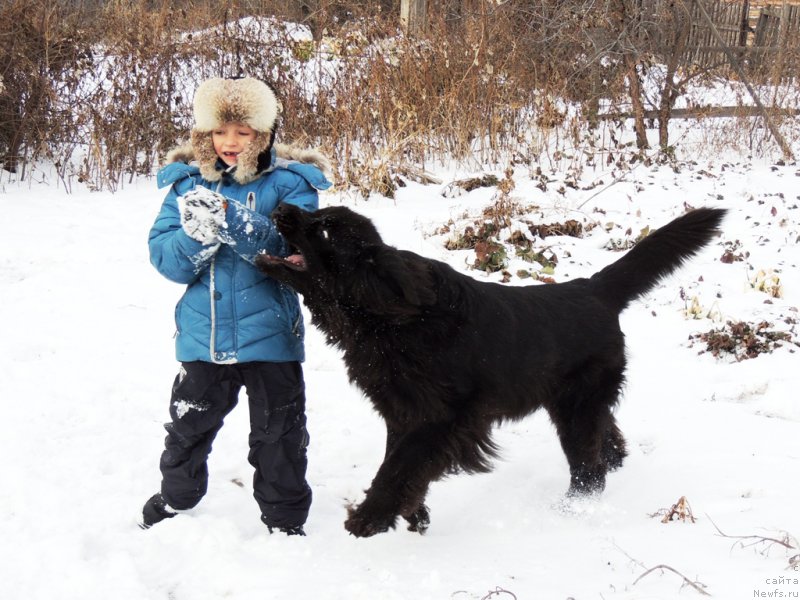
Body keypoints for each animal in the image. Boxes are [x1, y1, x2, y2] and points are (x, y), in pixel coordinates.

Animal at [256, 204, 724, 536]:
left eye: (325, 229)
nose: (280, 207)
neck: (392, 320)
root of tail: (592, 288)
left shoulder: (442, 418)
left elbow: (399, 465)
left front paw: (372, 517)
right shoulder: (401, 411)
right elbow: (400, 462)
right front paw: (414, 515)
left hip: (576, 407)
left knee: (588, 472)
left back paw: (571, 510)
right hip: (576, 402)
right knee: (605, 441)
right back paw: (615, 461)